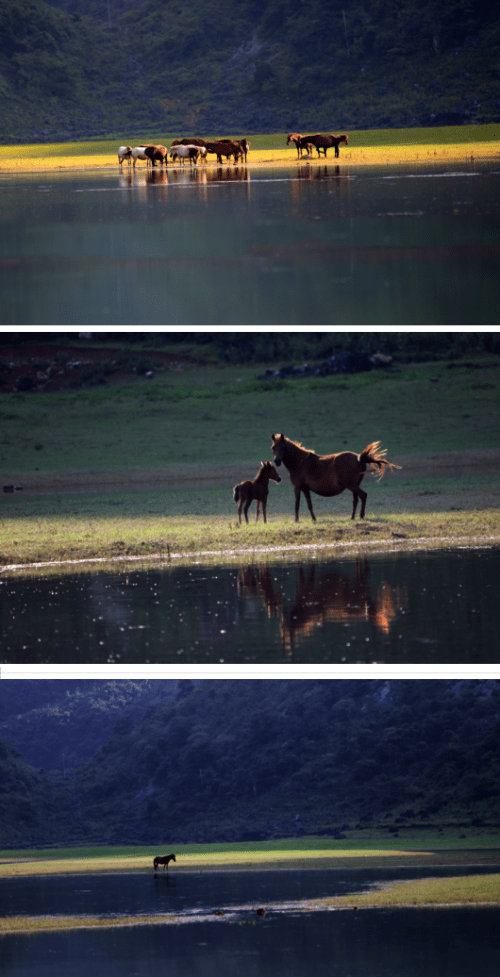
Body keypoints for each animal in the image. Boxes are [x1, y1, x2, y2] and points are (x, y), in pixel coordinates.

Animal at [270, 434, 402, 524]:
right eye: (273, 447)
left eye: (283, 447)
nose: (276, 461)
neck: (300, 462)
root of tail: (359, 458)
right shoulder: (305, 488)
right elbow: (309, 504)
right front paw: (314, 519)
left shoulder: (297, 487)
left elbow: (297, 504)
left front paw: (296, 520)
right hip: (354, 486)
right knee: (355, 500)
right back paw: (352, 517)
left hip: (352, 485)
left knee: (363, 496)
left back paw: (361, 516)